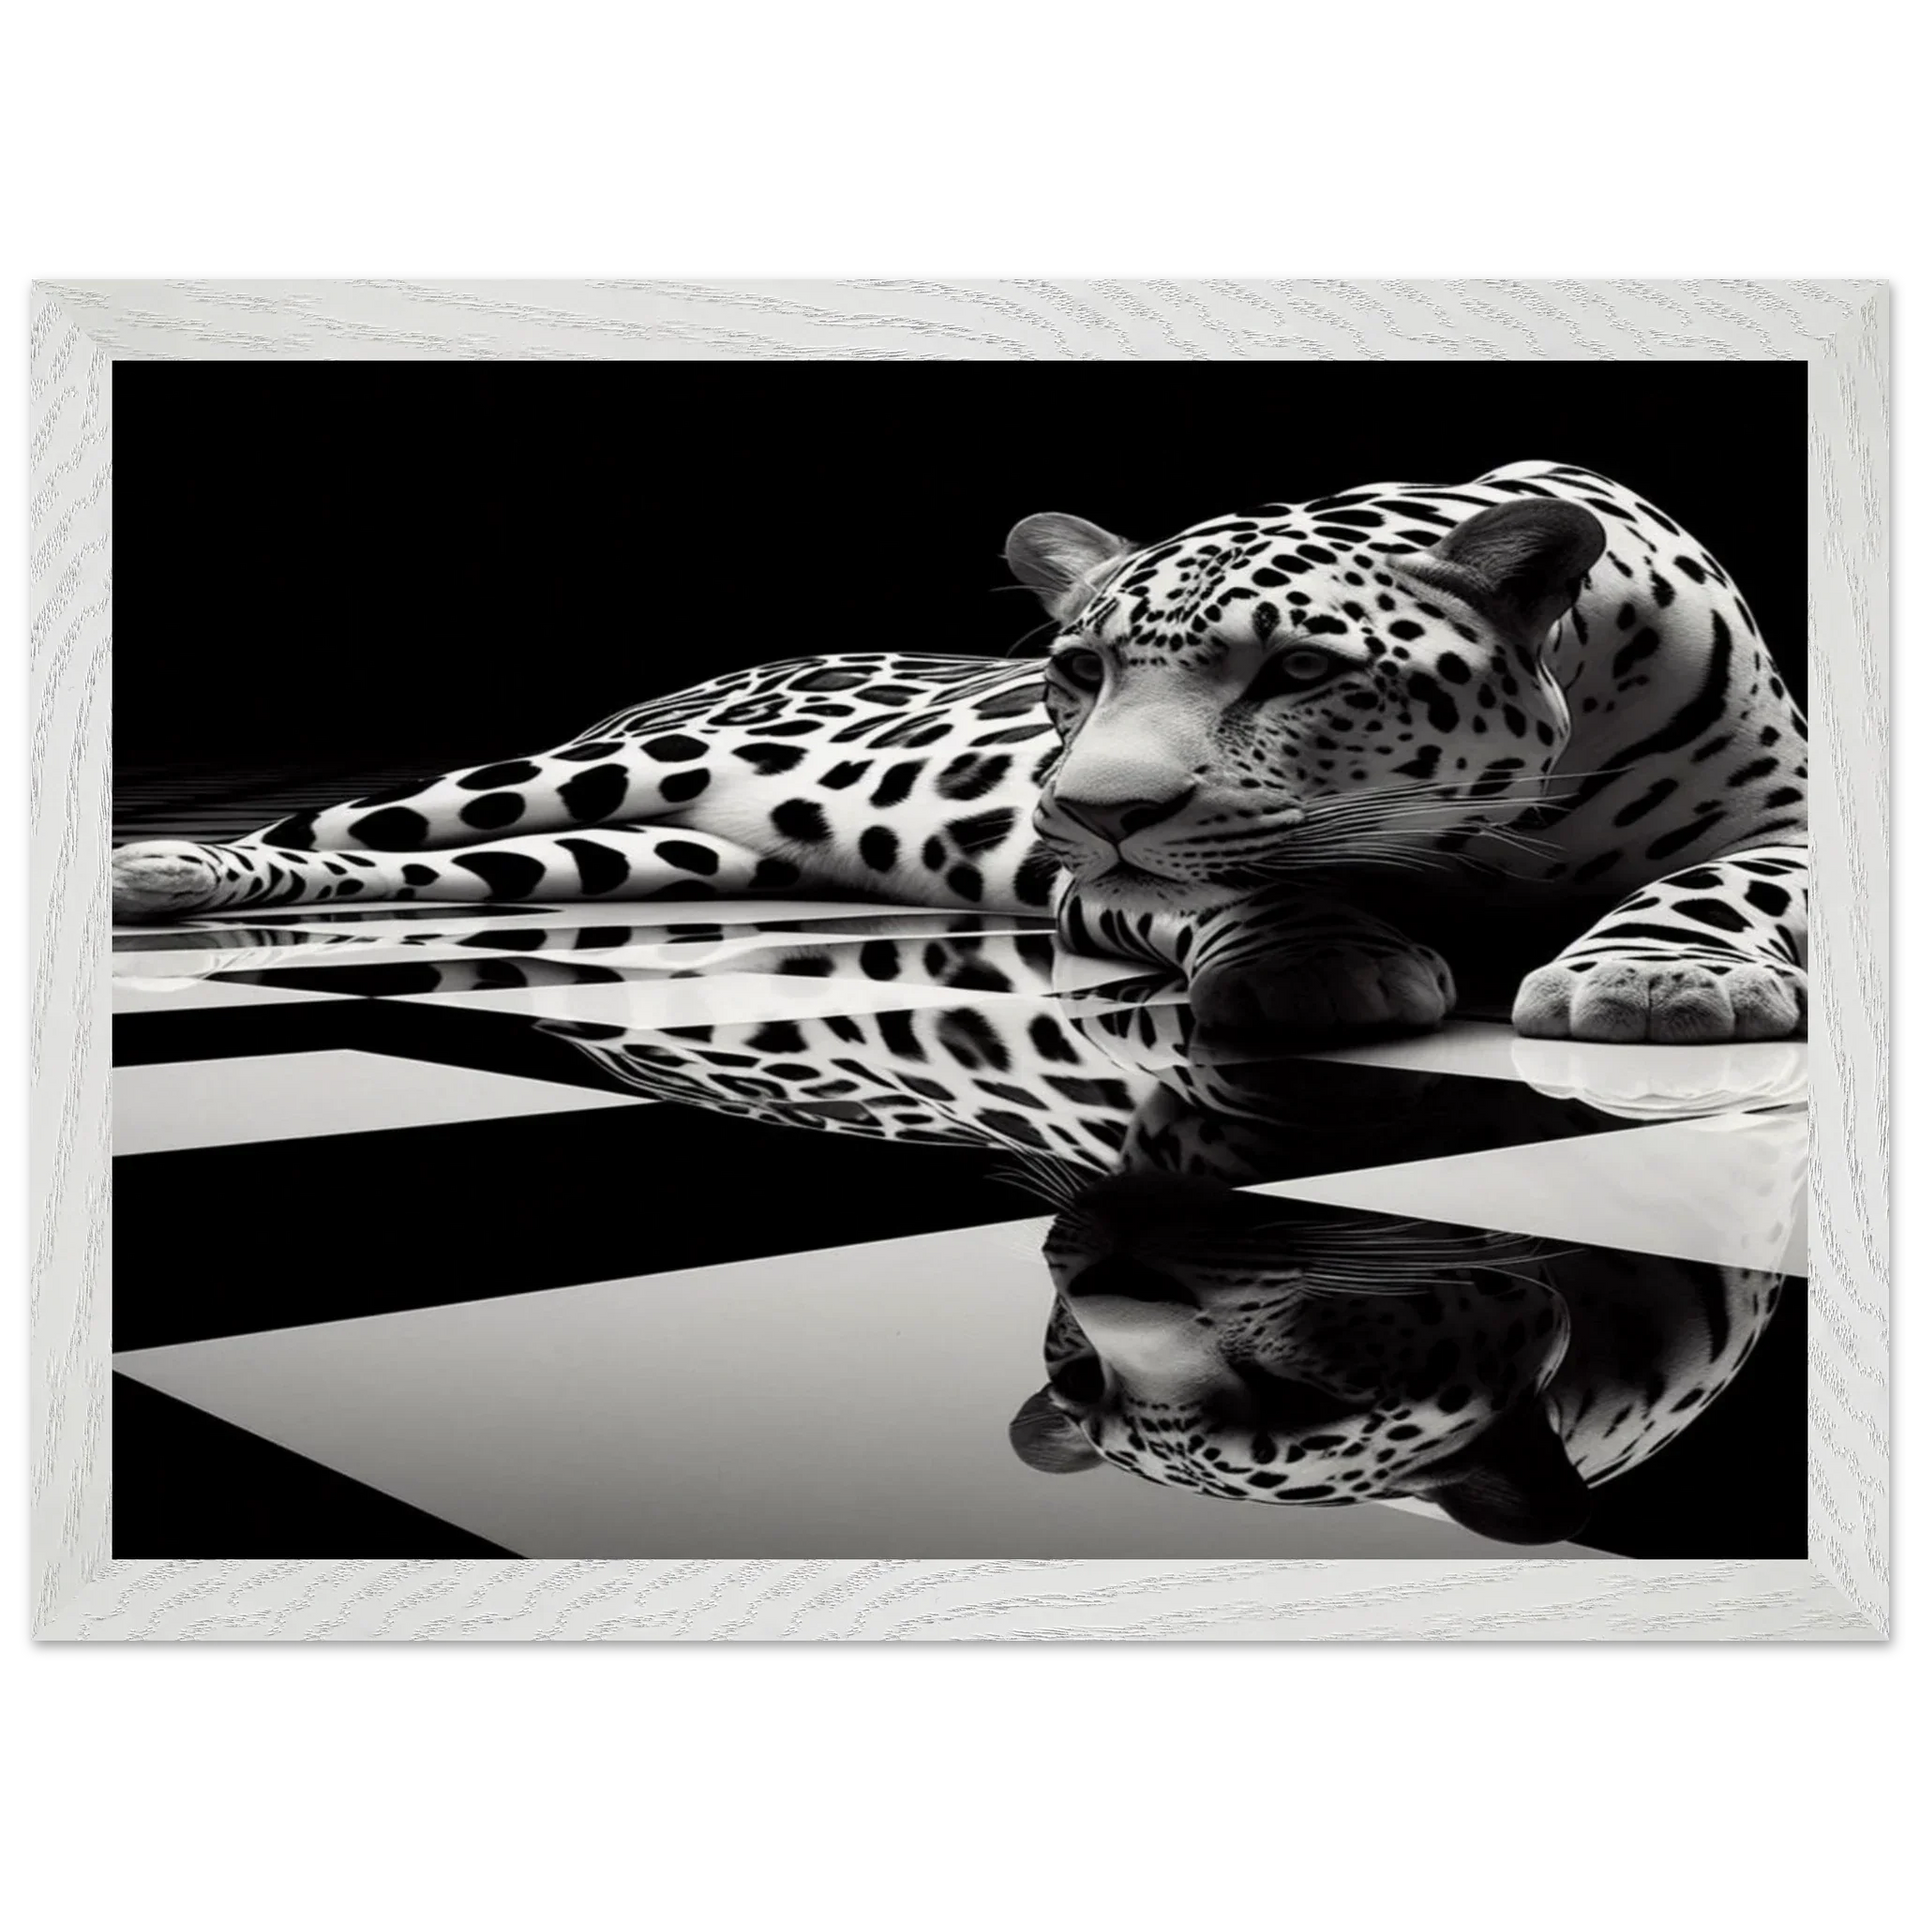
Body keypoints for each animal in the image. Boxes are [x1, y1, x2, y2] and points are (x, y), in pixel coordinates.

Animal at [111, 460, 1809, 1045]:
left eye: (1301, 671)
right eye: (1078, 671)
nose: (1086, 806)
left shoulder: (1798, 823)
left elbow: (1722, 886)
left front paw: (1656, 978)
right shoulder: (1102, 885)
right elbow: (1247, 885)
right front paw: (1318, 962)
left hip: (627, 852)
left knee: (455, 868)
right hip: (572, 776)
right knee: (344, 823)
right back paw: (165, 870)